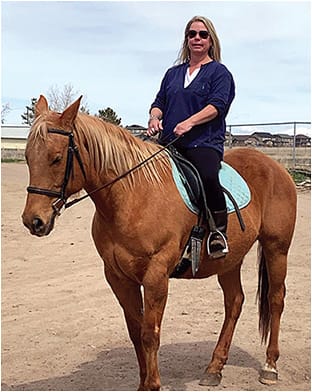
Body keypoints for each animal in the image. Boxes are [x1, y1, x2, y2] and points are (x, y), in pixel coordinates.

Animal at [22, 95, 298, 392]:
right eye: (27, 158)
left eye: (57, 158)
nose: (33, 221)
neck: (132, 196)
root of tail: (276, 167)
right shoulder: (118, 276)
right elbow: (135, 331)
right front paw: (144, 382)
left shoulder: (156, 274)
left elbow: (149, 333)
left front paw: (152, 384)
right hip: (229, 259)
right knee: (234, 302)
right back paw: (214, 368)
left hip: (276, 248)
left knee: (276, 299)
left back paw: (270, 366)